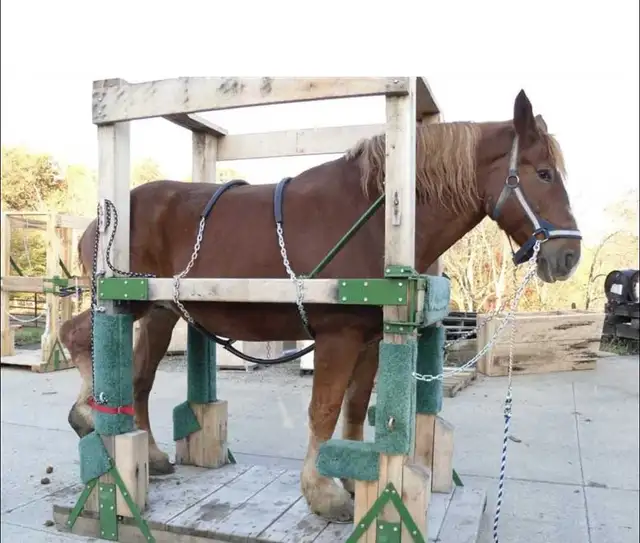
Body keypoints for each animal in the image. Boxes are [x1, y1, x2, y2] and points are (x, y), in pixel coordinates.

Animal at [60, 89, 582, 523]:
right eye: (543, 173)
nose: (569, 255)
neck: (373, 216)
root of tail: (100, 218)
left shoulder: (370, 340)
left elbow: (354, 408)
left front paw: (351, 477)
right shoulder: (339, 335)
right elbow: (324, 410)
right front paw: (322, 492)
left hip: (160, 314)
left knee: (139, 379)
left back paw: (146, 451)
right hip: (126, 305)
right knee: (76, 335)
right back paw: (87, 414)